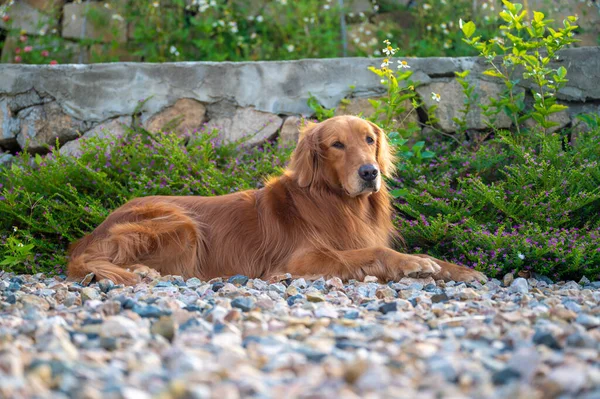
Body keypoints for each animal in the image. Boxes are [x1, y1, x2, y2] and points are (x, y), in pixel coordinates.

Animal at [67, 114, 488, 286]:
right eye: (337, 145)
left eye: (370, 139)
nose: (370, 172)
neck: (337, 202)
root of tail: (90, 233)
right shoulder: (303, 258)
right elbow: (373, 253)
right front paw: (413, 264)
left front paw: (458, 270)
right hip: (183, 225)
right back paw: (139, 272)